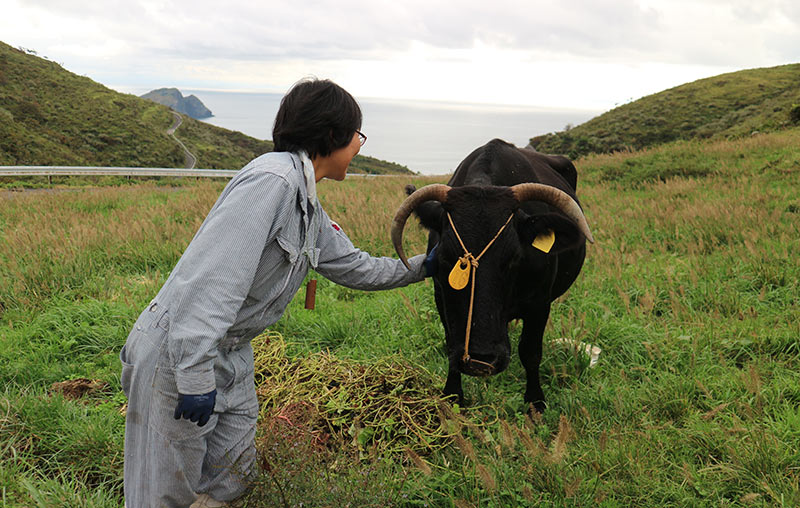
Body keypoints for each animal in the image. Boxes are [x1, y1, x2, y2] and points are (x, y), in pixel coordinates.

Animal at [390, 139, 592, 412]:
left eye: (515, 258)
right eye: (445, 258)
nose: (480, 359)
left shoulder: (540, 303)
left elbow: (530, 352)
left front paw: (535, 401)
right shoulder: (441, 296)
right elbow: (451, 344)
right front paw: (452, 396)